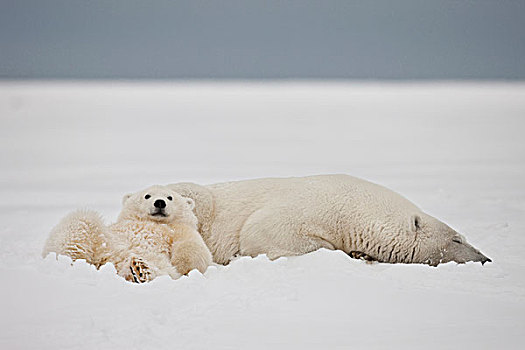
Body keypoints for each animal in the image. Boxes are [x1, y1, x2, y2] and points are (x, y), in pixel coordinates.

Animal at [169, 175, 492, 266]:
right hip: (201, 200)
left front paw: (363, 253)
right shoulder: (313, 207)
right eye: (457, 238)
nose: (485, 258)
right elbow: (262, 230)